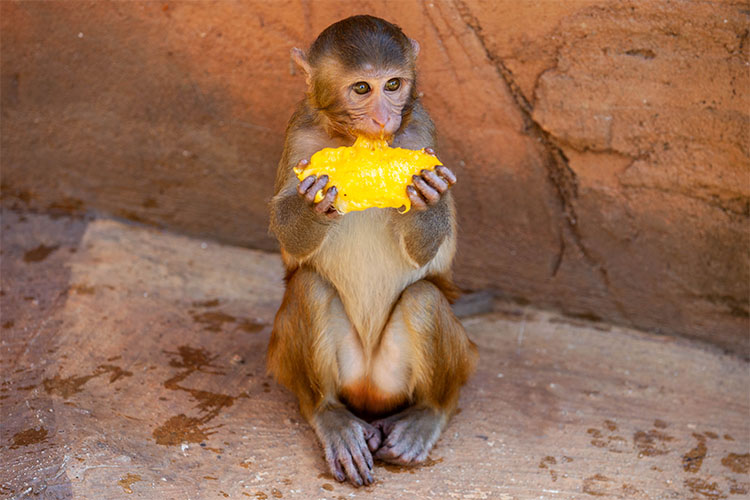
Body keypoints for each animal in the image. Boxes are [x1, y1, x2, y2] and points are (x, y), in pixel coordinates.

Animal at [268, 14, 478, 484]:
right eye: (362, 88)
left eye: (394, 84)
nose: (384, 118)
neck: (351, 141)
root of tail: (368, 391)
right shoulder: (298, 134)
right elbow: (288, 235)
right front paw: (314, 199)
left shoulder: (419, 130)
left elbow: (425, 253)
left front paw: (428, 194)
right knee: (309, 288)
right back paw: (330, 417)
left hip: (403, 374)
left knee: (424, 297)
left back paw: (427, 414)